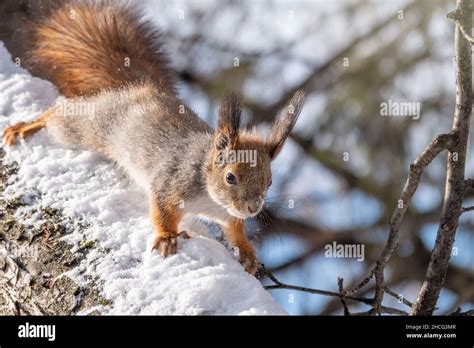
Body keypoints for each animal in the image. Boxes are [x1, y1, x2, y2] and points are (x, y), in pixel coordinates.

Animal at [2, 1, 304, 276]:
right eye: (230, 177)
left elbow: (235, 231)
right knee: (58, 115)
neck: (209, 195)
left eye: (269, 181)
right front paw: (167, 237)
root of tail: (135, 87)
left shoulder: (229, 216)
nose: (253, 208)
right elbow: (161, 211)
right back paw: (25, 126)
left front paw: (247, 252)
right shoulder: (169, 183)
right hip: (86, 126)